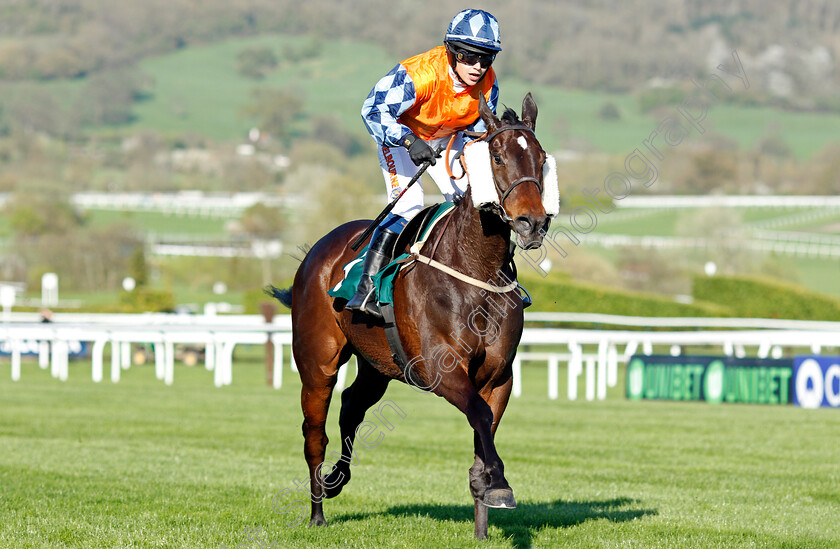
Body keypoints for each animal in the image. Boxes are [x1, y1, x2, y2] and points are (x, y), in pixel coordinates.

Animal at [272, 94, 556, 540]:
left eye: (541, 158)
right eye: (496, 155)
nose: (533, 222)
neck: (476, 267)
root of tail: (317, 252)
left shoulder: (499, 376)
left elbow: (484, 429)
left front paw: (483, 515)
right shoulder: (444, 370)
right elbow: (479, 414)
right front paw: (501, 484)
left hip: (377, 363)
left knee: (352, 405)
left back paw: (337, 479)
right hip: (318, 362)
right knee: (314, 433)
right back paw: (317, 512)